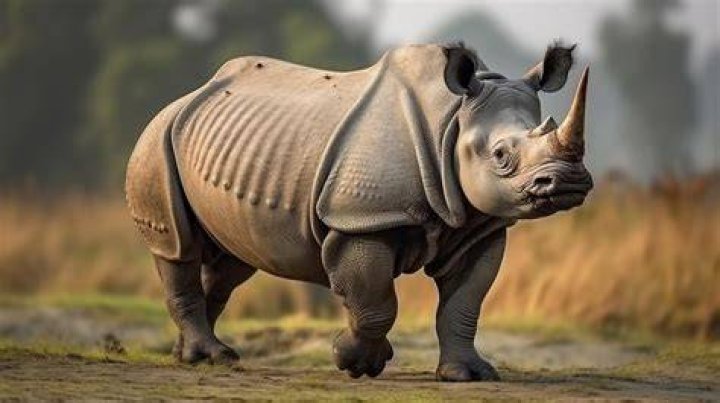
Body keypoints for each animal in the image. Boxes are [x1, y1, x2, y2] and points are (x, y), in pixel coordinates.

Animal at [126, 42, 592, 381]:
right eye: (500, 156)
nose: (568, 181)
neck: (453, 121)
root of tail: (187, 97)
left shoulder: (479, 226)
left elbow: (465, 301)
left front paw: (468, 375)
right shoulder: (360, 220)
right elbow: (375, 300)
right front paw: (357, 362)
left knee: (232, 263)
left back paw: (192, 356)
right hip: (156, 138)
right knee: (178, 247)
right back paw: (211, 357)